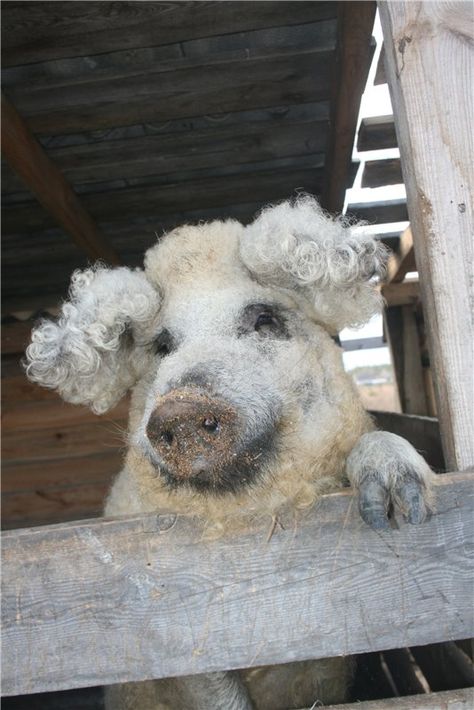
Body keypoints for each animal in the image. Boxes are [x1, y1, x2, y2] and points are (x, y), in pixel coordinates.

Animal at [25, 196, 434, 710]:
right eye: (162, 345)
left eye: (264, 320)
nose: (181, 408)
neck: (244, 519)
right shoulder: (183, 642)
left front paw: (399, 509)